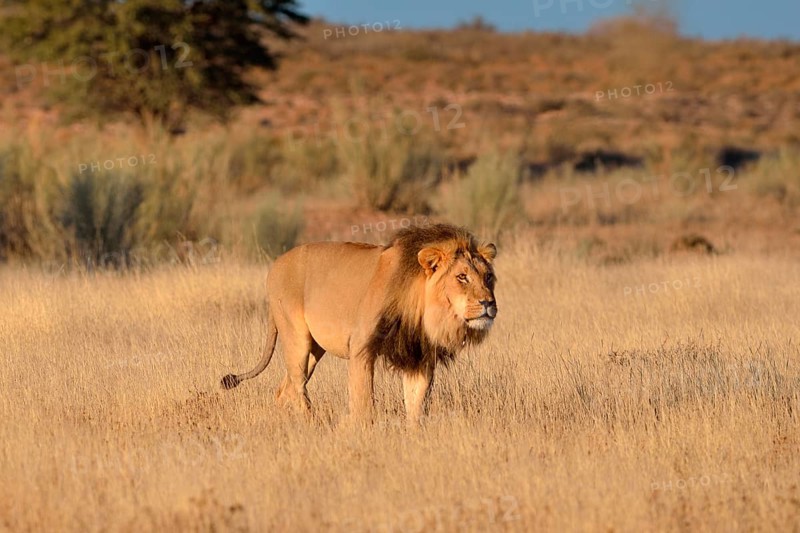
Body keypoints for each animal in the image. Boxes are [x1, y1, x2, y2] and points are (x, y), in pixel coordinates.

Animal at [220, 223, 498, 426]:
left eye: (488, 277)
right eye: (461, 277)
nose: (488, 303)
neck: (423, 311)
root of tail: (275, 264)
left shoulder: (418, 356)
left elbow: (417, 405)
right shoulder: (362, 347)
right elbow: (364, 401)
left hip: (314, 348)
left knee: (284, 389)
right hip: (295, 337)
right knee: (298, 386)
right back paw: (314, 423)